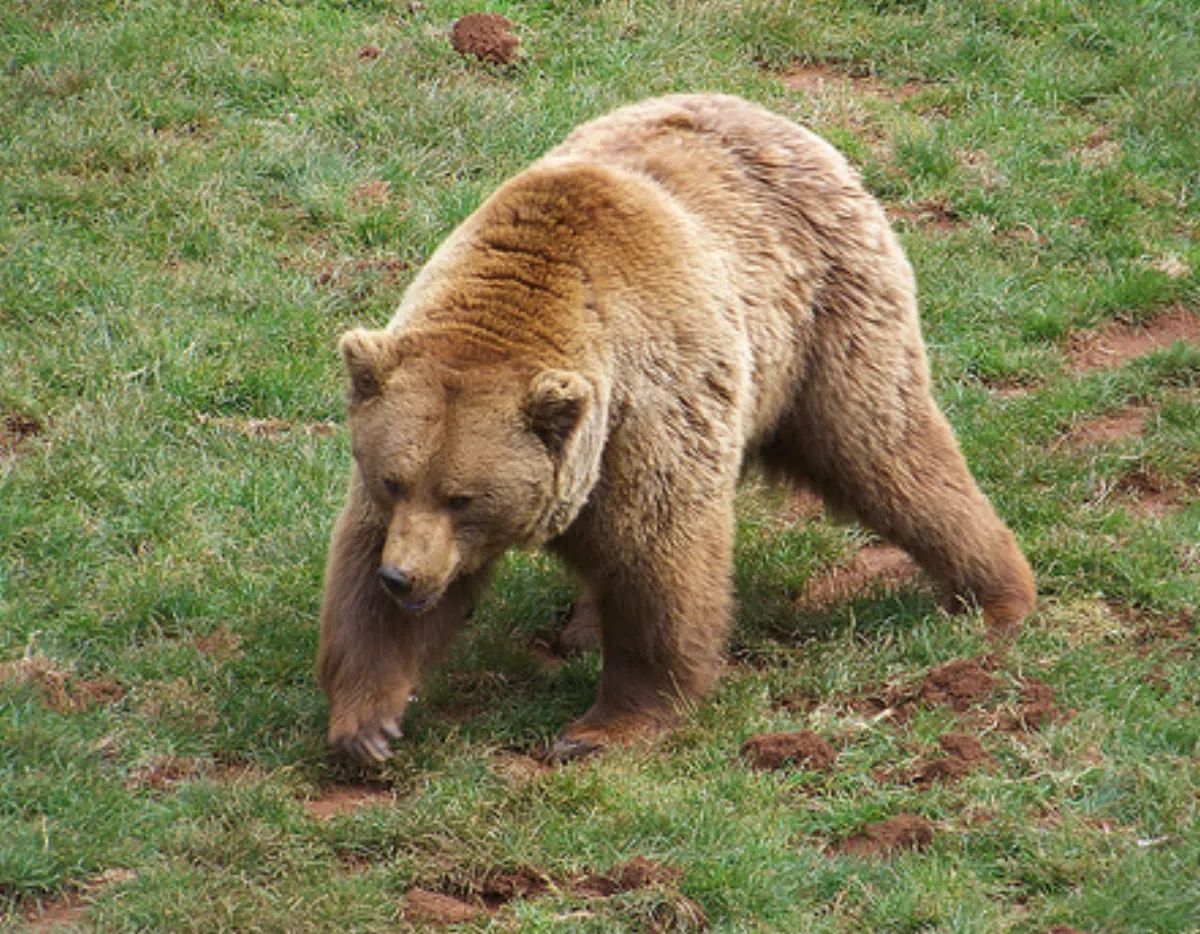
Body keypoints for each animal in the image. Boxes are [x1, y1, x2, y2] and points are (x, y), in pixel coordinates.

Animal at [317, 93, 1036, 764]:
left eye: (463, 497)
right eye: (393, 480)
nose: (404, 577)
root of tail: (780, 119)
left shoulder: (648, 412)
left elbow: (659, 561)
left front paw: (603, 727)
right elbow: (360, 567)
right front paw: (368, 721)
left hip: (827, 319)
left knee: (887, 448)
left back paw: (998, 595)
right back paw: (581, 627)